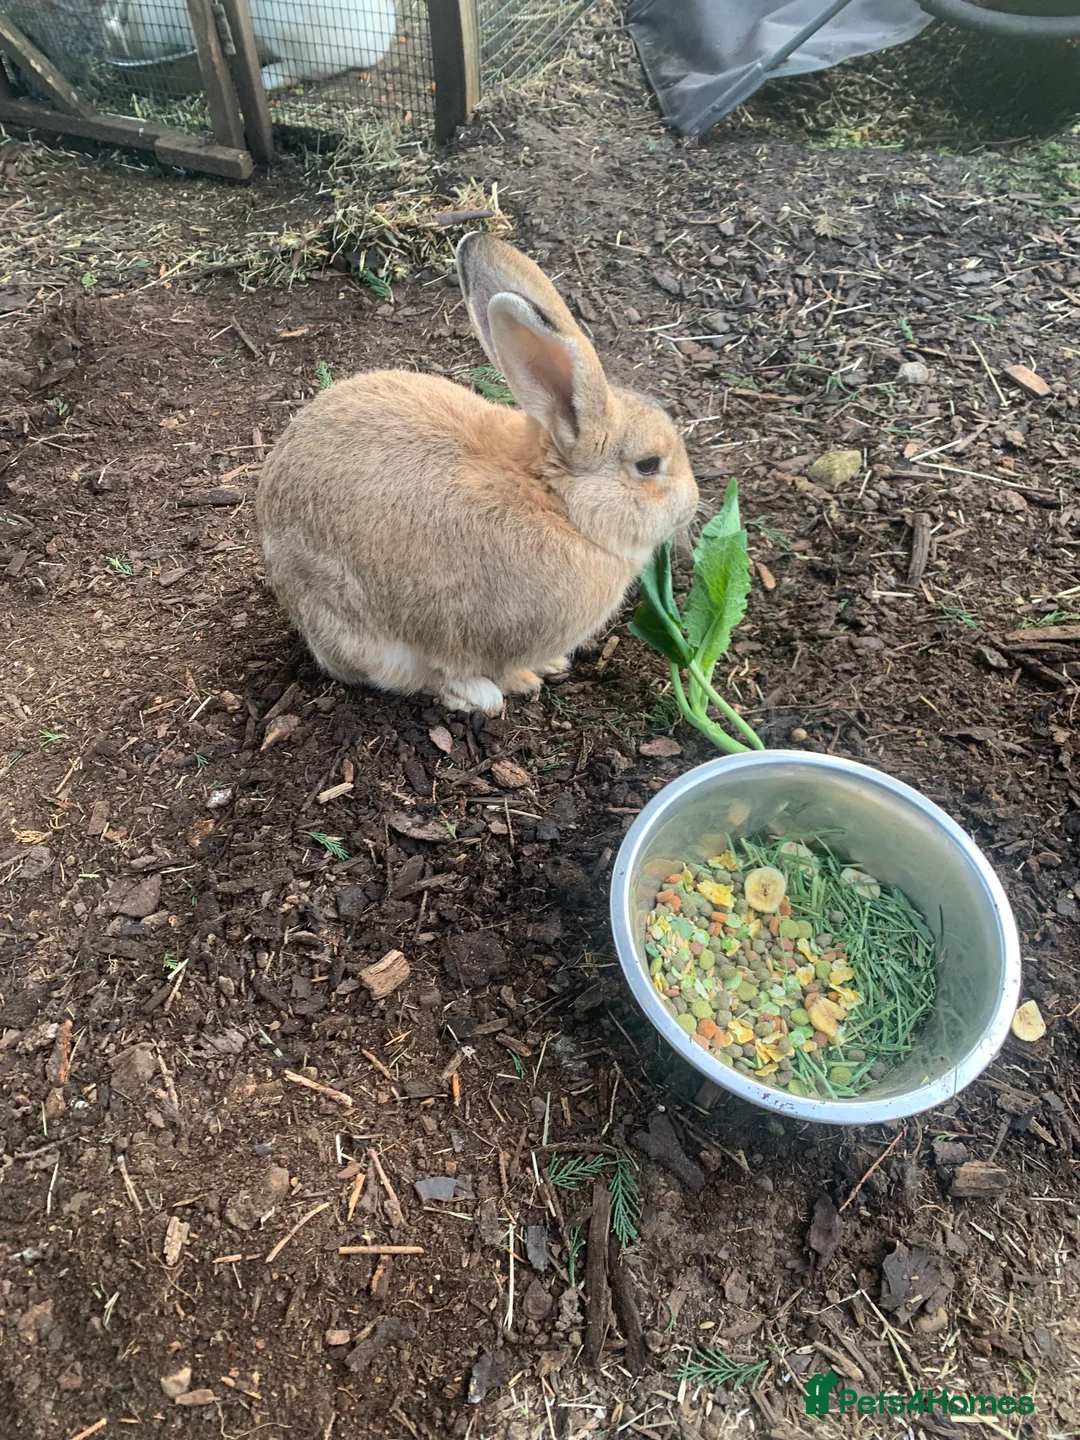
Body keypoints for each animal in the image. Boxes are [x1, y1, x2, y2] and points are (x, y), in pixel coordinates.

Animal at [256, 233, 699, 716]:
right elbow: (463, 667)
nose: (693, 504)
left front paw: (550, 666)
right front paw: (512, 684)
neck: (557, 502)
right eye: (648, 465)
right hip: (356, 630)